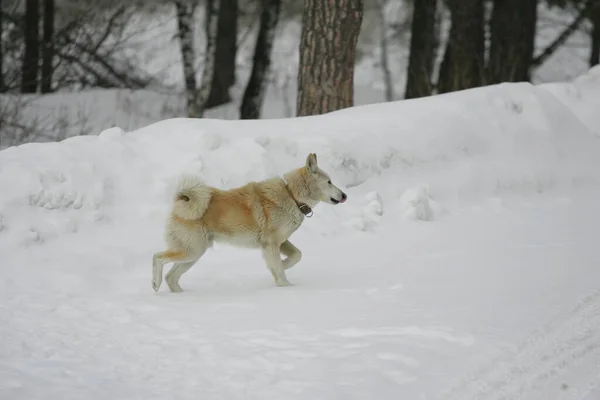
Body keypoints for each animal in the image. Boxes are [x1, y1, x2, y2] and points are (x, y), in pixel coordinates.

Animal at [151, 152, 346, 292]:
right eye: (329, 182)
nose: (344, 195)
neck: (291, 195)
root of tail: (181, 201)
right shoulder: (271, 244)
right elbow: (281, 269)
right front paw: (285, 286)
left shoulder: (280, 242)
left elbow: (297, 255)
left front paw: (283, 266)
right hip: (192, 251)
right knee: (157, 257)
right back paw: (155, 282)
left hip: (194, 254)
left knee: (171, 277)